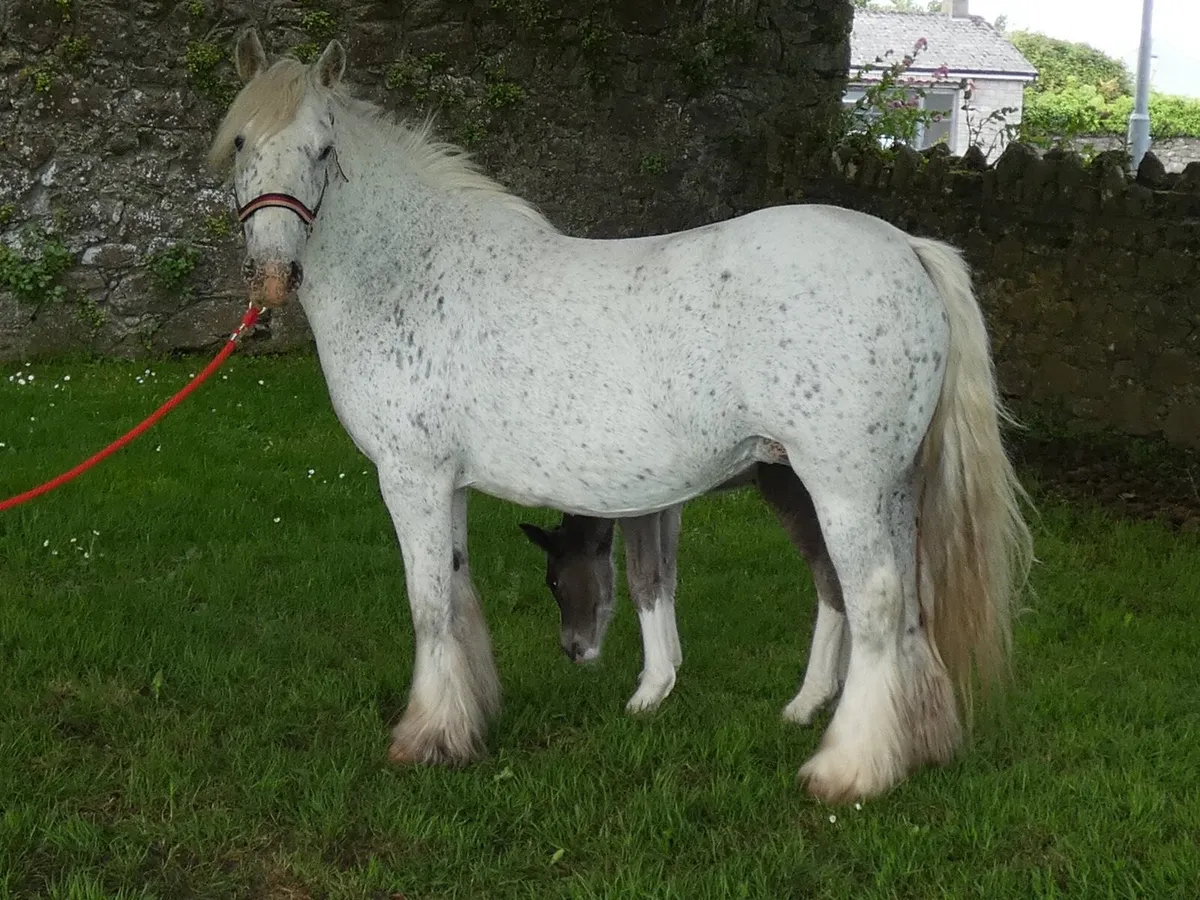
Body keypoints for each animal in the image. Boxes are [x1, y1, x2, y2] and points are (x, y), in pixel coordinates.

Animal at [519, 463, 852, 724]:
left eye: (553, 583)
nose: (572, 650)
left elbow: (643, 577)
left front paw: (651, 689)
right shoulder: (669, 500)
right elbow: (666, 571)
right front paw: (670, 662)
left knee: (831, 572)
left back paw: (809, 700)